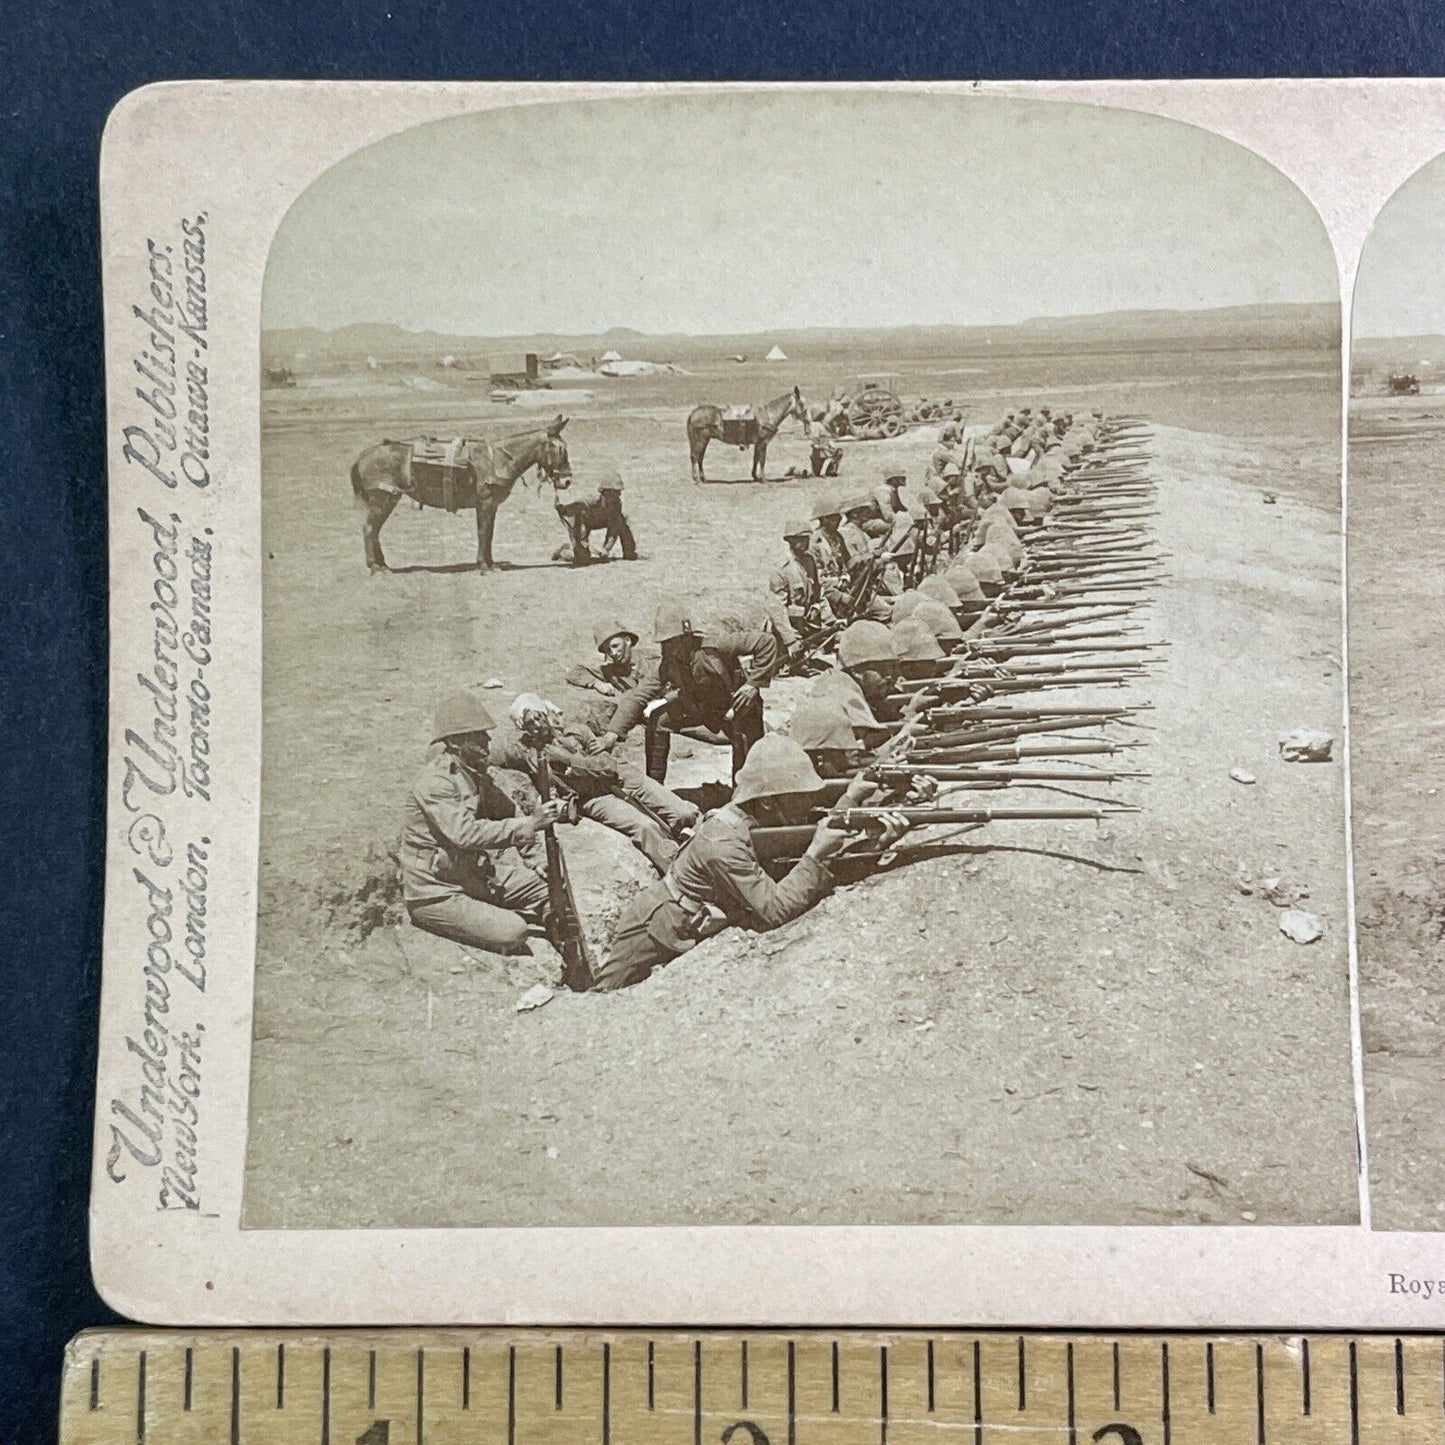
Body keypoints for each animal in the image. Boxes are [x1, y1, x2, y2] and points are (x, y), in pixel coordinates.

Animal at [349, 413, 569, 569]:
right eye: (558, 449)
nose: (566, 480)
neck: (498, 460)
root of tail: (363, 455)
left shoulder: (492, 506)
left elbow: (489, 533)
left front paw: (491, 563)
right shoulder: (484, 503)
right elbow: (483, 532)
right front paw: (483, 565)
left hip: (388, 499)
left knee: (375, 530)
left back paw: (382, 564)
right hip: (382, 499)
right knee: (369, 529)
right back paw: (376, 567)